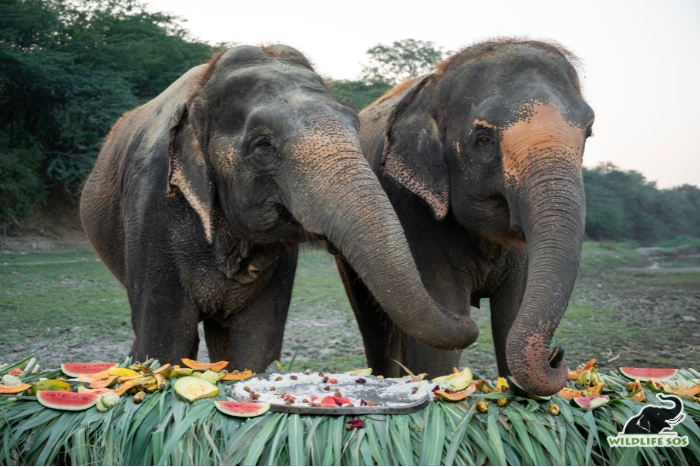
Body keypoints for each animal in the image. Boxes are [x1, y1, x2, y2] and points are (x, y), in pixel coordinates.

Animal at [80, 44, 476, 372]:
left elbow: (257, 343)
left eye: (355, 127)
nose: (469, 315)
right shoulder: (152, 205)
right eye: (263, 146)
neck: (202, 92)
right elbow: (165, 341)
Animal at [334, 40, 596, 396]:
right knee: (374, 322)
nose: (558, 356)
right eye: (483, 139)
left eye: (589, 133)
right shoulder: (410, 208)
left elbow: (513, 314)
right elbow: (442, 316)